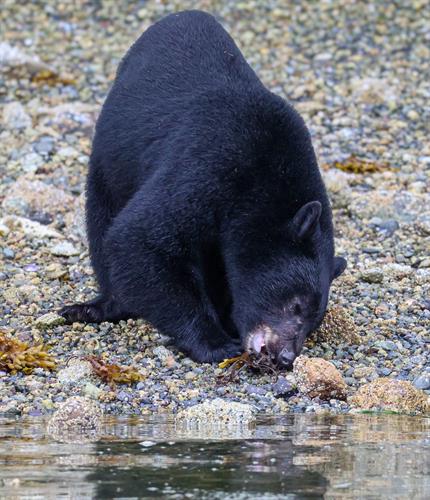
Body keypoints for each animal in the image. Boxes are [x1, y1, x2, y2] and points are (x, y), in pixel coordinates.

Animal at [59, 8, 346, 368]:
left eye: (313, 322)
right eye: (295, 304)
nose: (285, 356)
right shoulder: (209, 164)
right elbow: (140, 239)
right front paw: (216, 342)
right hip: (108, 164)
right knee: (101, 223)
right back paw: (99, 306)